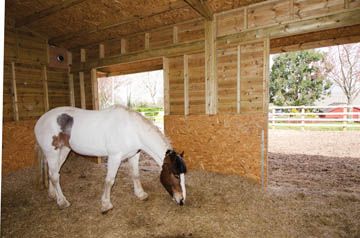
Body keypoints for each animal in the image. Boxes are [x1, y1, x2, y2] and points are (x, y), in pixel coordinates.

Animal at [34, 105, 187, 213]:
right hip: (52, 153)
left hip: (64, 150)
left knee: (53, 173)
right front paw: (106, 204)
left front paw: (140, 194)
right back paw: (62, 202)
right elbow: (109, 181)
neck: (132, 130)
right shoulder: (114, 157)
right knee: (55, 176)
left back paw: (53, 195)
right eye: (175, 175)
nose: (182, 200)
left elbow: (135, 175)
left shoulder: (134, 155)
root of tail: (40, 121)